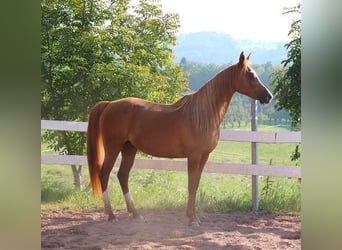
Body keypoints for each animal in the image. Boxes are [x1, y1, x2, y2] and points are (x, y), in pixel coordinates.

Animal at [87, 51, 272, 226]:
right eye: (250, 75)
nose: (268, 96)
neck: (202, 114)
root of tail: (109, 104)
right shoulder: (194, 156)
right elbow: (191, 185)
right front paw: (192, 219)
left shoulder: (204, 156)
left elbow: (195, 184)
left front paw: (192, 216)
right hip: (113, 148)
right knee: (104, 175)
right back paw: (111, 215)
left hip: (129, 149)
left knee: (122, 176)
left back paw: (135, 213)